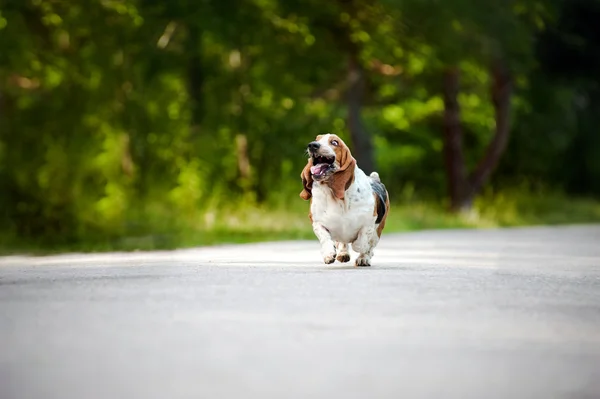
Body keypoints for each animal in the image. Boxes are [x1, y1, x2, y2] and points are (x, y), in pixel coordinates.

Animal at [298, 134, 390, 268]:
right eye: (317, 138)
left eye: (334, 142)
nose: (312, 145)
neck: (337, 198)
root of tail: (375, 178)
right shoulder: (317, 222)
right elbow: (325, 238)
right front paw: (329, 254)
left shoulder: (368, 224)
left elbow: (360, 243)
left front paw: (363, 251)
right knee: (342, 243)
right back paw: (343, 253)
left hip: (379, 229)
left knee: (369, 245)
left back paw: (364, 258)